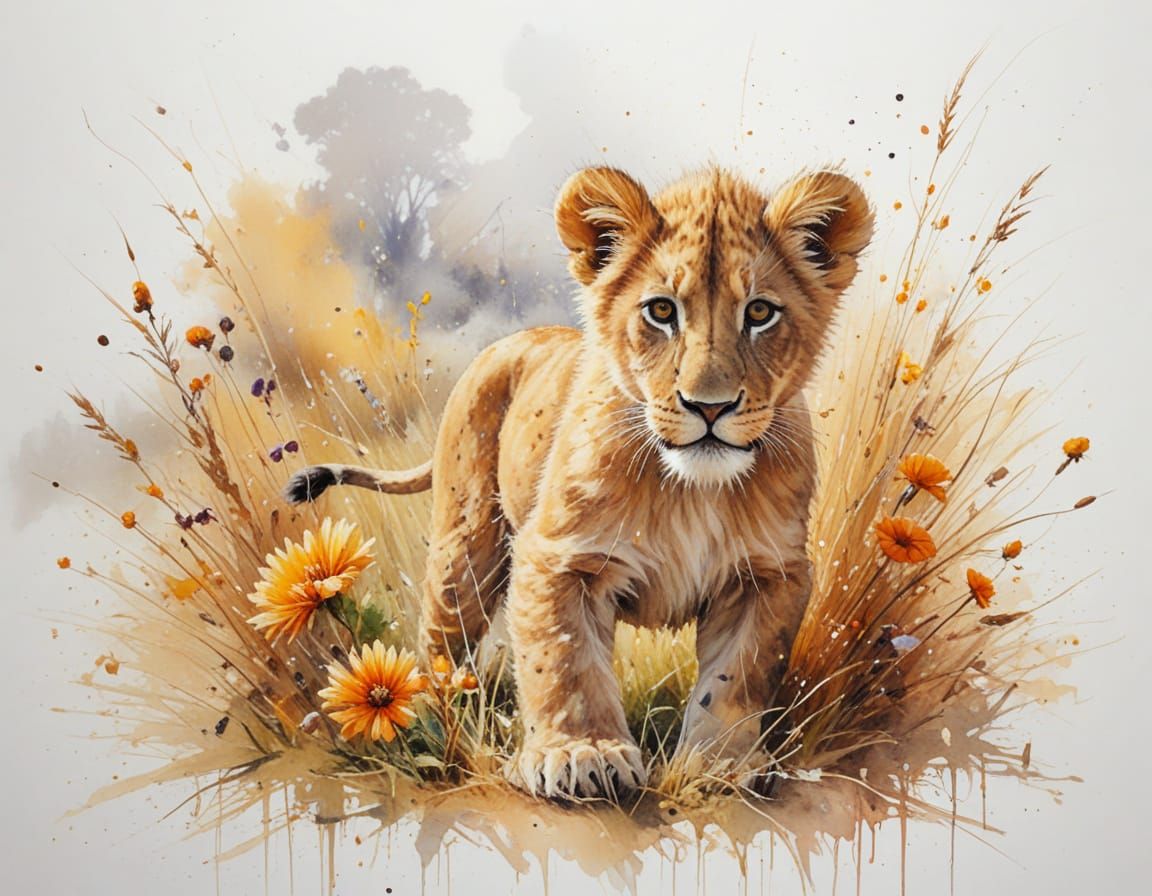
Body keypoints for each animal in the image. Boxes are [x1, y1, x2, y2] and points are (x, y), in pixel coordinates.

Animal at [286, 165, 874, 800]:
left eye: (761, 313)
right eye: (661, 311)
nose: (709, 406)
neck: (692, 490)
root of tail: (507, 342)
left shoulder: (770, 574)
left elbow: (737, 675)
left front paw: (721, 764)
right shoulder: (558, 559)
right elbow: (565, 663)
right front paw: (582, 754)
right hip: (466, 545)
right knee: (442, 637)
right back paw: (428, 718)